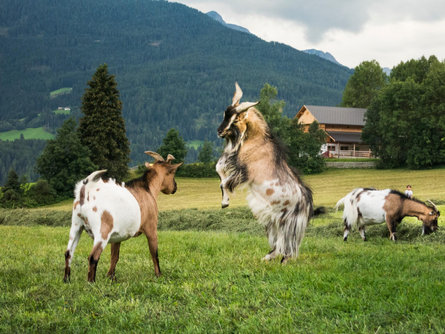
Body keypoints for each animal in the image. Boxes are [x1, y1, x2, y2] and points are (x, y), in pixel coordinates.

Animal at [63, 151, 181, 282]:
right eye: (172, 173)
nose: (175, 187)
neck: (148, 189)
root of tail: (85, 190)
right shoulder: (151, 228)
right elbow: (154, 253)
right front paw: (159, 275)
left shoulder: (117, 236)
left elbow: (115, 256)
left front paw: (111, 277)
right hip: (102, 232)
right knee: (93, 257)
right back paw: (91, 282)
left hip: (76, 226)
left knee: (68, 253)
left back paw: (66, 280)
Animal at [216, 83, 322, 264]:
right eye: (225, 113)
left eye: (236, 119)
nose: (219, 131)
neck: (256, 142)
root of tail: (306, 204)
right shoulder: (232, 163)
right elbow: (219, 171)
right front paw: (224, 201)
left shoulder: (244, 172)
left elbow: (224, 182)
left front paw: (225, 203)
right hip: (273, 219)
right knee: (278, 242)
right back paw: (267, 257)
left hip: (288, 222)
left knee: (288, 243)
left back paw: (284, 261)